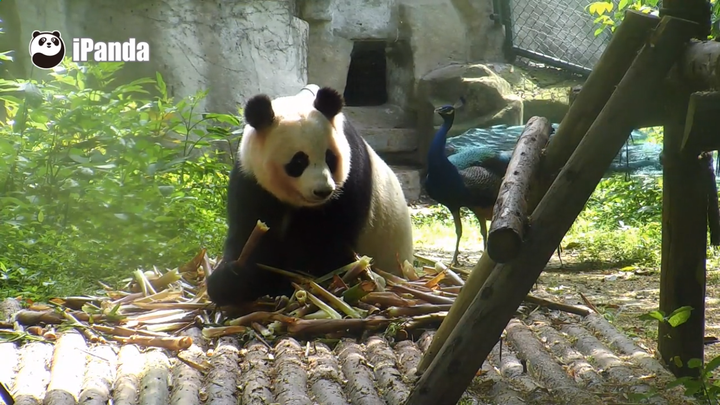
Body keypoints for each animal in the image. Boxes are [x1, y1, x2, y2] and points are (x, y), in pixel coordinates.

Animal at [205, 86, 414, 306]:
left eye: (330, 158)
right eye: (298, 162)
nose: (323, 191)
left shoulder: (349, 180)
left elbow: (325, 239)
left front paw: (293, 282)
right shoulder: (251, 178)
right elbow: (250, 230)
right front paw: (231, 281)